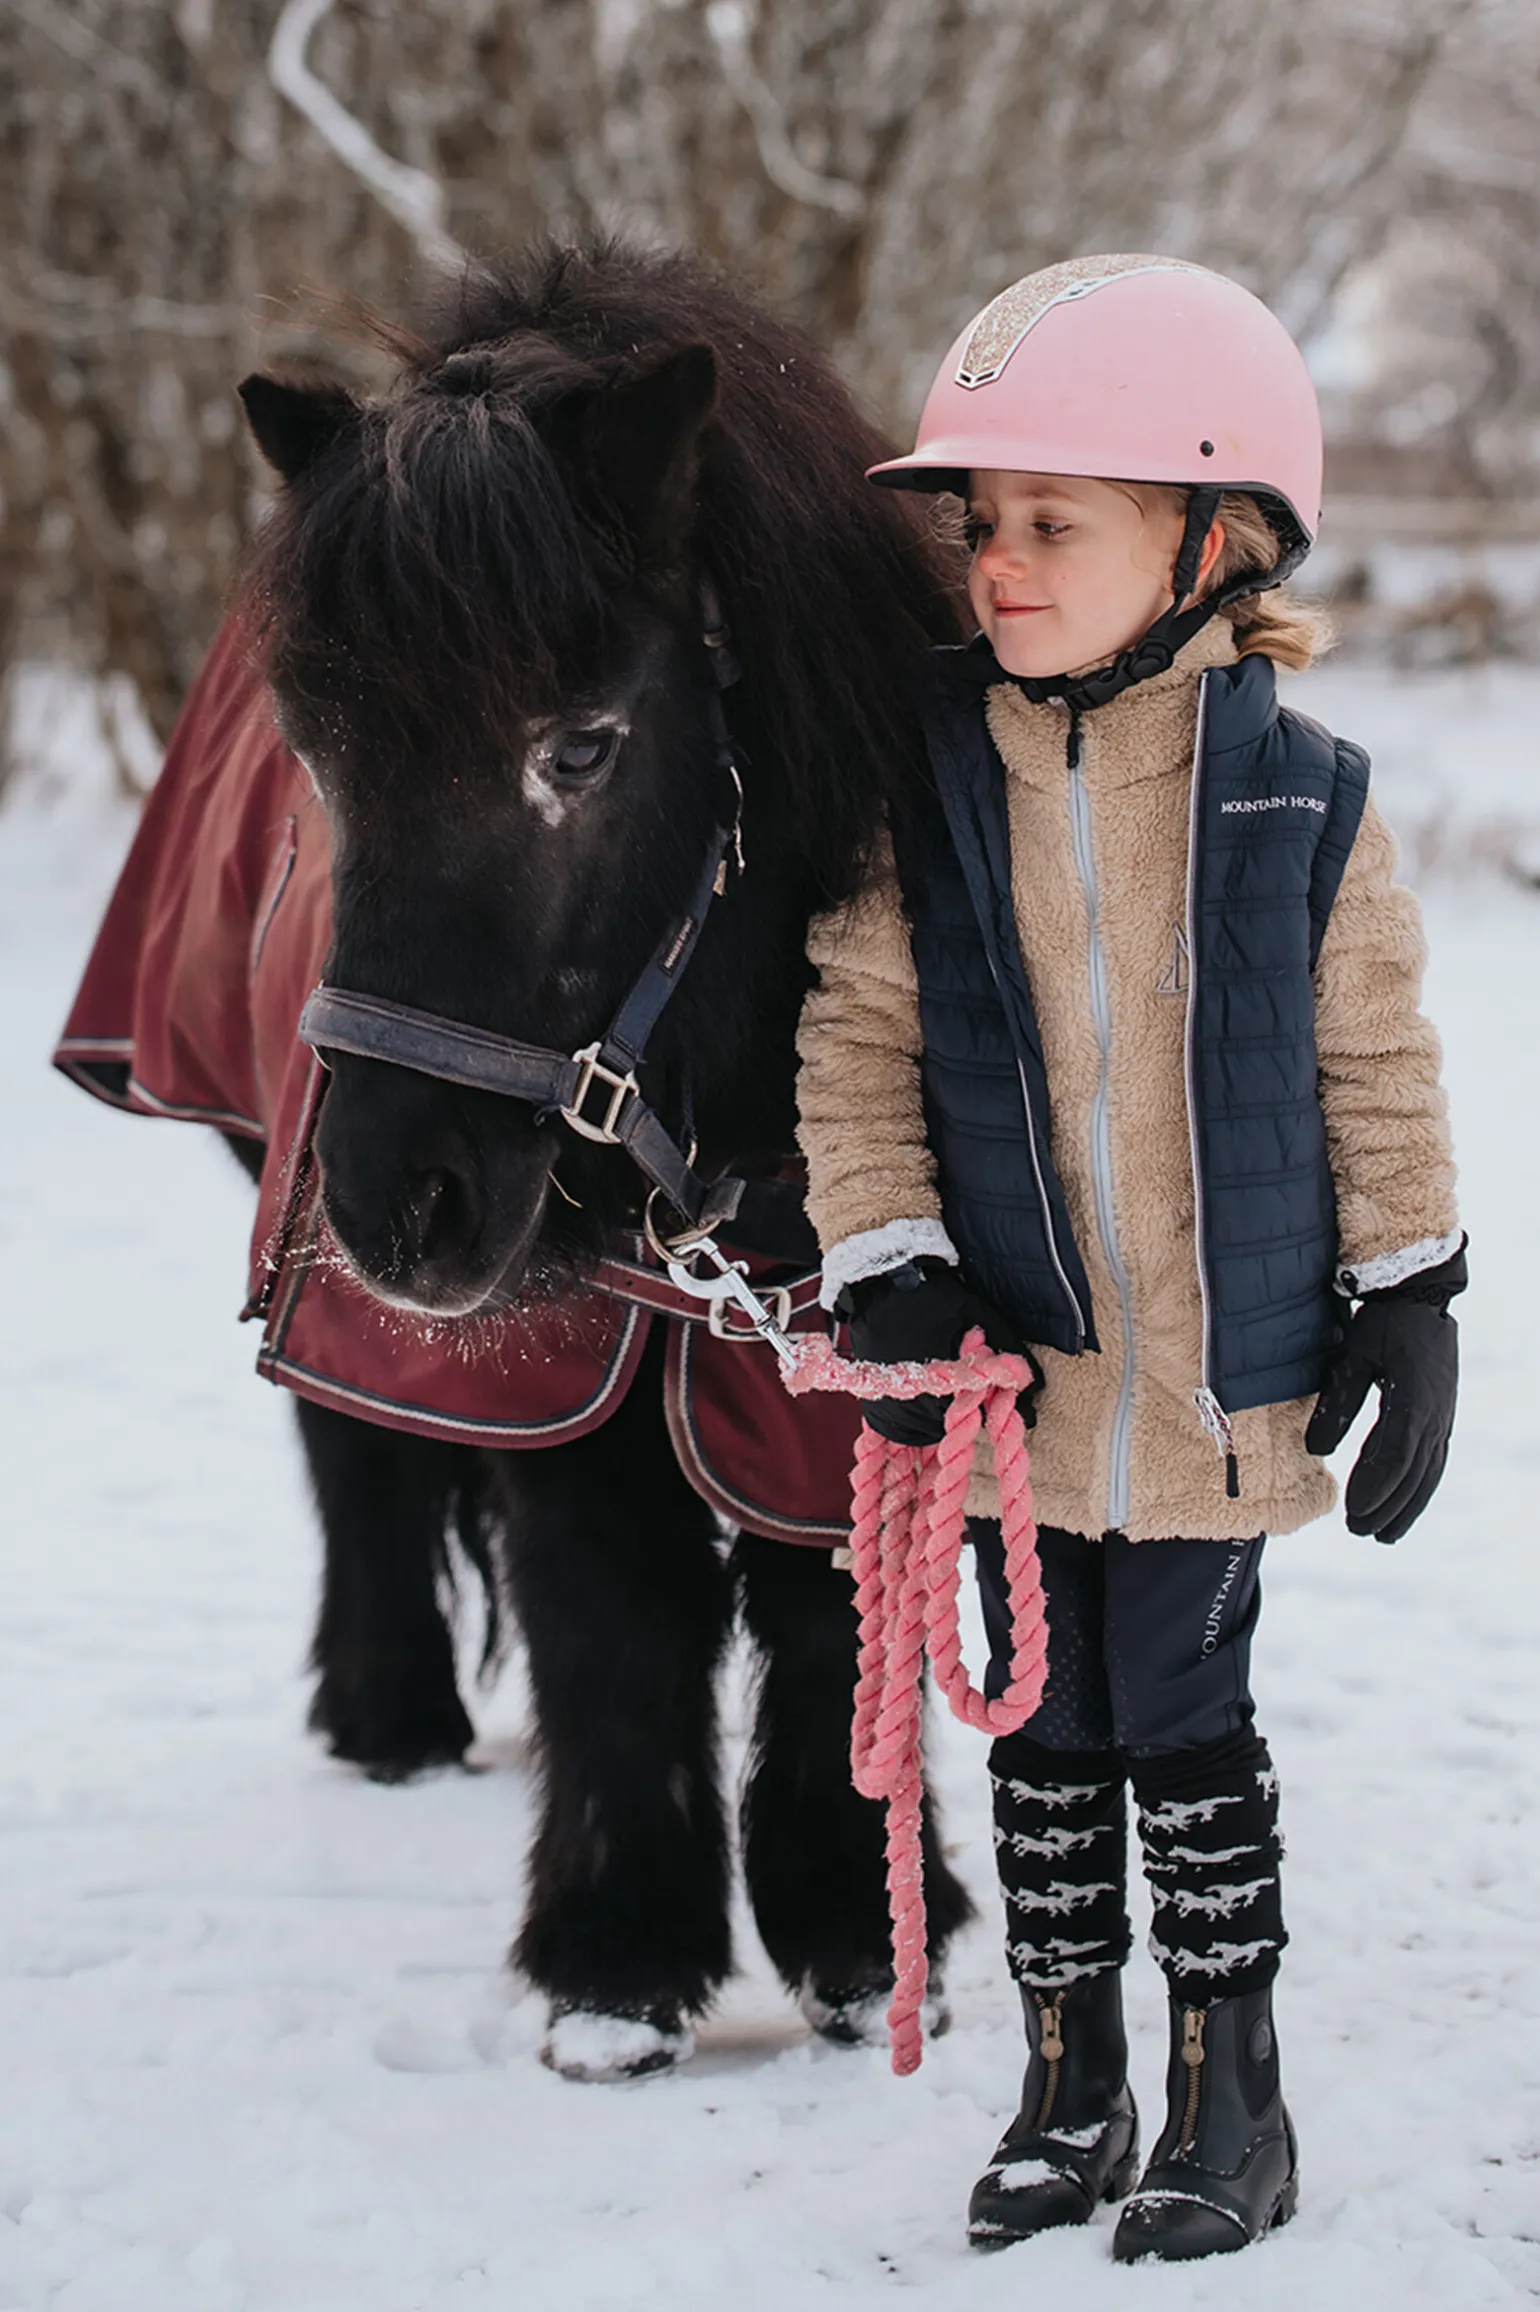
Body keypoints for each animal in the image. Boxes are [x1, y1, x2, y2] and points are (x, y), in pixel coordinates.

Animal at [212, 238, 973, 2080]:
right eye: (317, 757)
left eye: (580, 745)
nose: (402, 1206)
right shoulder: (565, 1347)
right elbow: (609, 1612)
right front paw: (618, 1965)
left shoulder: (844, 1334)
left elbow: (827, 1592)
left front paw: (860, 1933)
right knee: (351, 1447)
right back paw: (390, 1710)